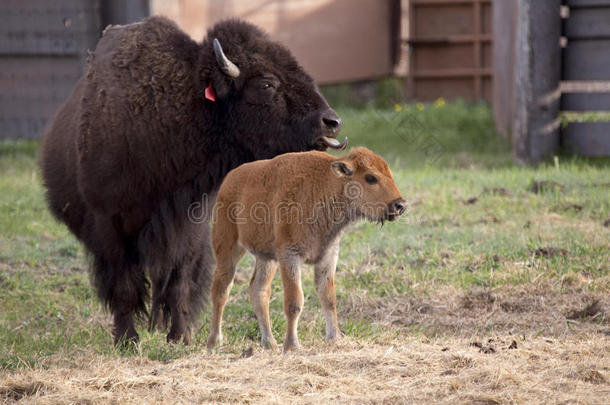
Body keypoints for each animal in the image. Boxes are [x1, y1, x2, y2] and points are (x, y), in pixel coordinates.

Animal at [41, 16, 346, 344]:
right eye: (266, 84)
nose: (331, 122)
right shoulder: (109, 225)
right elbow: (124, 287)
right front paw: (127, 341)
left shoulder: (188, 224)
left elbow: (180, 282)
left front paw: (180, 337)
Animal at [205, 148, 404, 350]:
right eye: (370, 177)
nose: (399, 205)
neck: (327, 184)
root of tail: (228, 180)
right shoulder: (290, 256)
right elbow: (294, 301)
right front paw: (292, 345)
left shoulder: (328, 256)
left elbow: (328, 298)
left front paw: (334, 338)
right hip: (228, 248)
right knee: (221, 288)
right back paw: (214, 341)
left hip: (267, 258)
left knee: (258, 290)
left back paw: (269, 342)